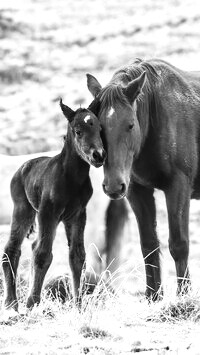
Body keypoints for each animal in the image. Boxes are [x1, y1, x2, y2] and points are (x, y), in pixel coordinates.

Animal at [2, 100, 105, 312]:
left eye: (100, 129)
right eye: (78, 131)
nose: (98, 156)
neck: (72, 179)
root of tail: (23, 167)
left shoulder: (77, 215)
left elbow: (77, 257)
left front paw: (78, 305)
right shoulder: (48, 212)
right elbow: (43, 254)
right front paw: (32, 303)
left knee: (29, 246)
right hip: (23, 210)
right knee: (13, 249)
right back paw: (11, 303)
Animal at [87, 59, 200, 300]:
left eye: (130, 124)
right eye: (97, 128)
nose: (112, 186)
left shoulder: (178, 187)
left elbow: (179, 244)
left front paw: (183, 297)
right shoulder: (136, 191)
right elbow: (149, 245)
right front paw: (153, 296)